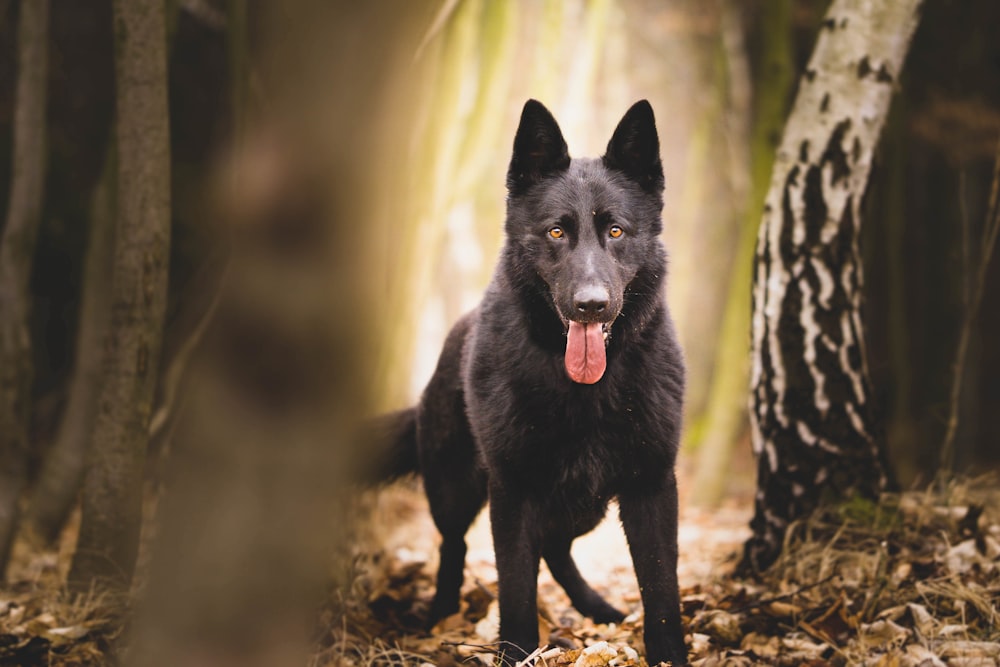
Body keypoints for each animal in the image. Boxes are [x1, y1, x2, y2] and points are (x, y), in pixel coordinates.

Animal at [376, 102, 688, 664]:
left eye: (616, 232)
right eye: (556, 233)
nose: (591, 305)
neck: (586, 390)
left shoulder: (651, 486)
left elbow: (661, 590)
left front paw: (667, 651)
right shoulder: (515, 490)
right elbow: (516, 590)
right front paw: (517, 652)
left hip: (581, 505)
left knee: (556, 549)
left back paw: (596, 608)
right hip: (455, 489)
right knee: (454, 544)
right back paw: (440, 615)